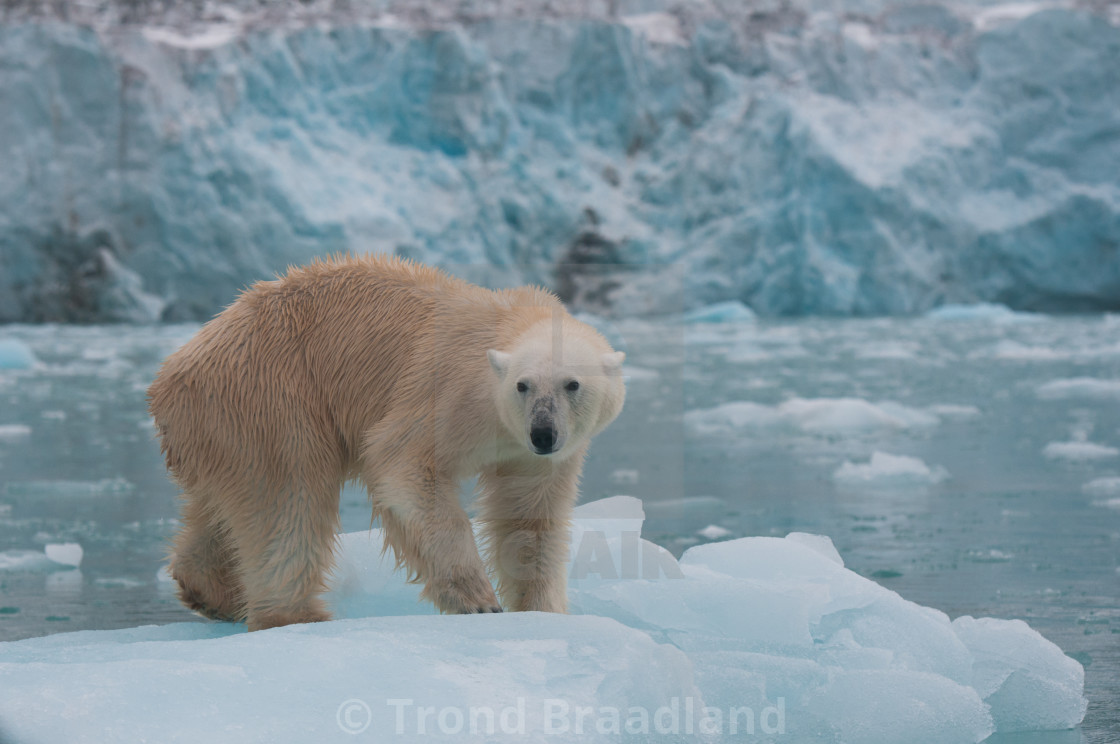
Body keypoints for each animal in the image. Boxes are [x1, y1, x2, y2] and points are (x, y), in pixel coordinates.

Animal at [145, 254, 627, 627]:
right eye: (523, 385)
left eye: (572, 384)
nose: (543, 433)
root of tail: (170, 376)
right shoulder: (447, 393)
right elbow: (403, 466)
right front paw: (478, 600)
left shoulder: (536, 454)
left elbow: (529, 515)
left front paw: (544, 611)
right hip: (270, 392)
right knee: (288, 498)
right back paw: (296, 615)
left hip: (221, 422)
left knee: (227, 505)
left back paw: (210, 590)